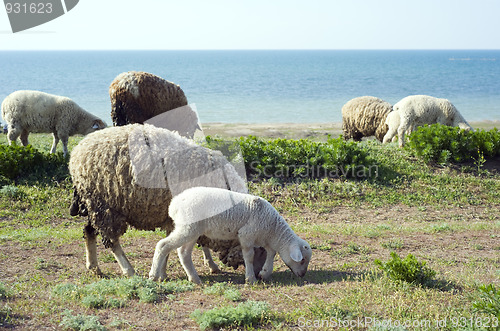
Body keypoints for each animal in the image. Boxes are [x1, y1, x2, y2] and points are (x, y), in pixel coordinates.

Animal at [68, 123, 264, 278]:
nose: (259, 275)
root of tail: (77, 151)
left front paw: (210, 265)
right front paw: (161, 273)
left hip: (95, 204)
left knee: (88, 231)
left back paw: (94, 267)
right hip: (105, 206)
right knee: (112, 241)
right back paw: (128, 270)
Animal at [149, 187, 312, 286]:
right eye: (302, 260)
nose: (303, 275)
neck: (273, 229)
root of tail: (174, 205)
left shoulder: (263, 239)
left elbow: (271, 253)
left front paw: (264, 273)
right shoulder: (247, 235)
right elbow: (249, 257)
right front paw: (251, 278)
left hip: (192, 230)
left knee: (183, 253)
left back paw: (195, 279)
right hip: (188, 227)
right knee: (163, 245)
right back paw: (154, 275)